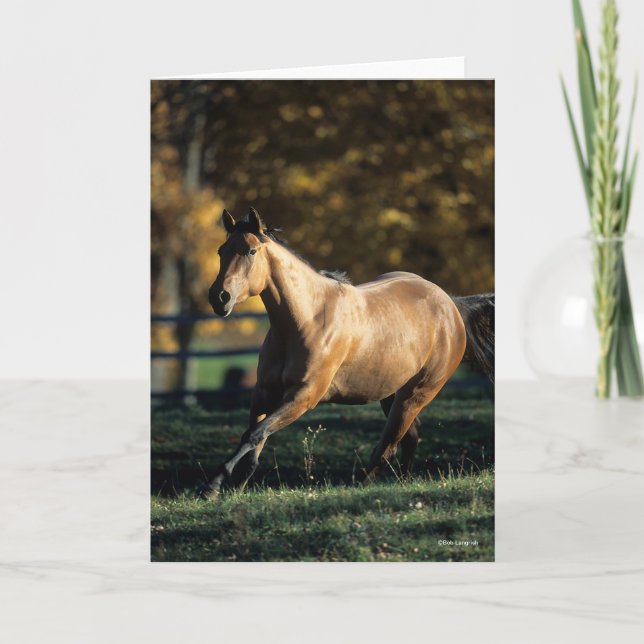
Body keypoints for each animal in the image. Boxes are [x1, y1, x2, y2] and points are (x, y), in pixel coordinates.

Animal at [204, 207, 494, 497]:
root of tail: (450, 304)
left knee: (388, 445)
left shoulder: (303, 396)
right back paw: (402, 481)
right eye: (221, 250)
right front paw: (236, 485)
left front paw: (214, 484)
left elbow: (254, 434)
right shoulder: (264, 392)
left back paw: (358, 486)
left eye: (251, 251)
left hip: (415, 395)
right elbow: (256, 437)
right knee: (409, 437)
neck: (307, 319)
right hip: (391, 394)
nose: (219, 297)